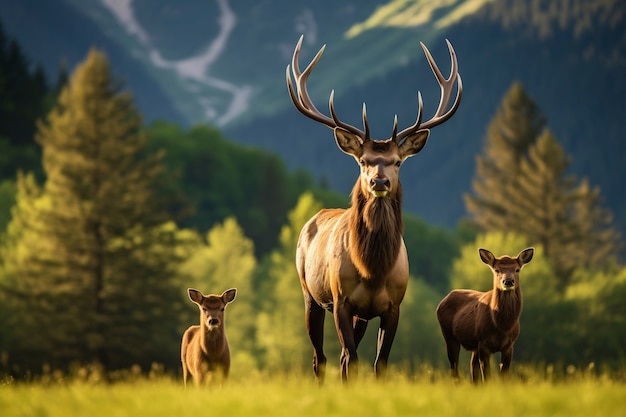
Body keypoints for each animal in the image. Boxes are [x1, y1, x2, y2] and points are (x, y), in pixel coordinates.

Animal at [286, 34, 460, 382]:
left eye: (397, 162)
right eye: (364, 161)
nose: (379, 181)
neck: (373, 269)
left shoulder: (393, 306)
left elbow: (380, 363)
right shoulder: (341, 300)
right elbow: (352, 358)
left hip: (360, 315)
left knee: (339, 357)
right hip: (309, 293)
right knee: (321, 357)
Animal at [434, 247, 532, 384]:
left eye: (517, 269)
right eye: (497, 270)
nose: (508, 281)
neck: (502, 326)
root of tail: (444, 300)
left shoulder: (509, 345)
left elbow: (503, 377)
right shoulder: (483, 343)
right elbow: (487, 376)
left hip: (473, 346)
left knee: (472, 371)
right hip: (449, 336)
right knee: (455, 369)